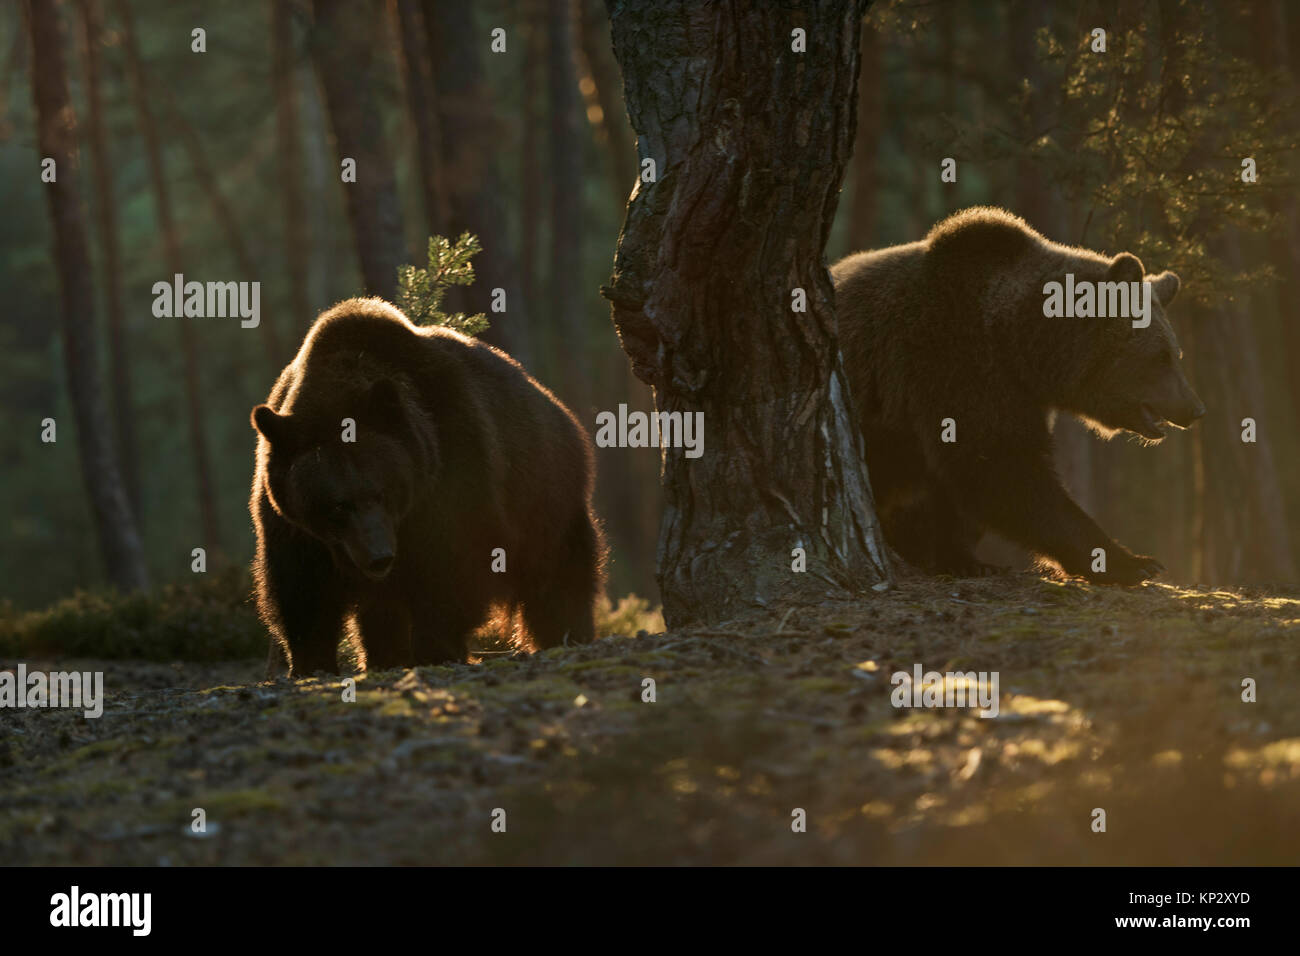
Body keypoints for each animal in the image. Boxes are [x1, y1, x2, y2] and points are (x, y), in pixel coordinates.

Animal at [248, 295, 603, 676]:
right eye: (337, 505)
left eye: (381, 492)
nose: (379, 556)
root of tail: (556, 406)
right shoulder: (294, 522)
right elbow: (301, 588)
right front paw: (311, 662)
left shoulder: (453, 470)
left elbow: (452, 567)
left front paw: (435, 648)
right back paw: (383, 656)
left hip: (544, 496)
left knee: (558, 574)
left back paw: (566, 634)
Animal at [832, 205, 1206, 587]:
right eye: (1160, 357)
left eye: (1175, 354)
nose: (1195, 408)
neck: (1018, 346)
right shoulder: (957, 369)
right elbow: (1005, 471)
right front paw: (1131, 562)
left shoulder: (1017, 397)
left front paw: (965, 559)